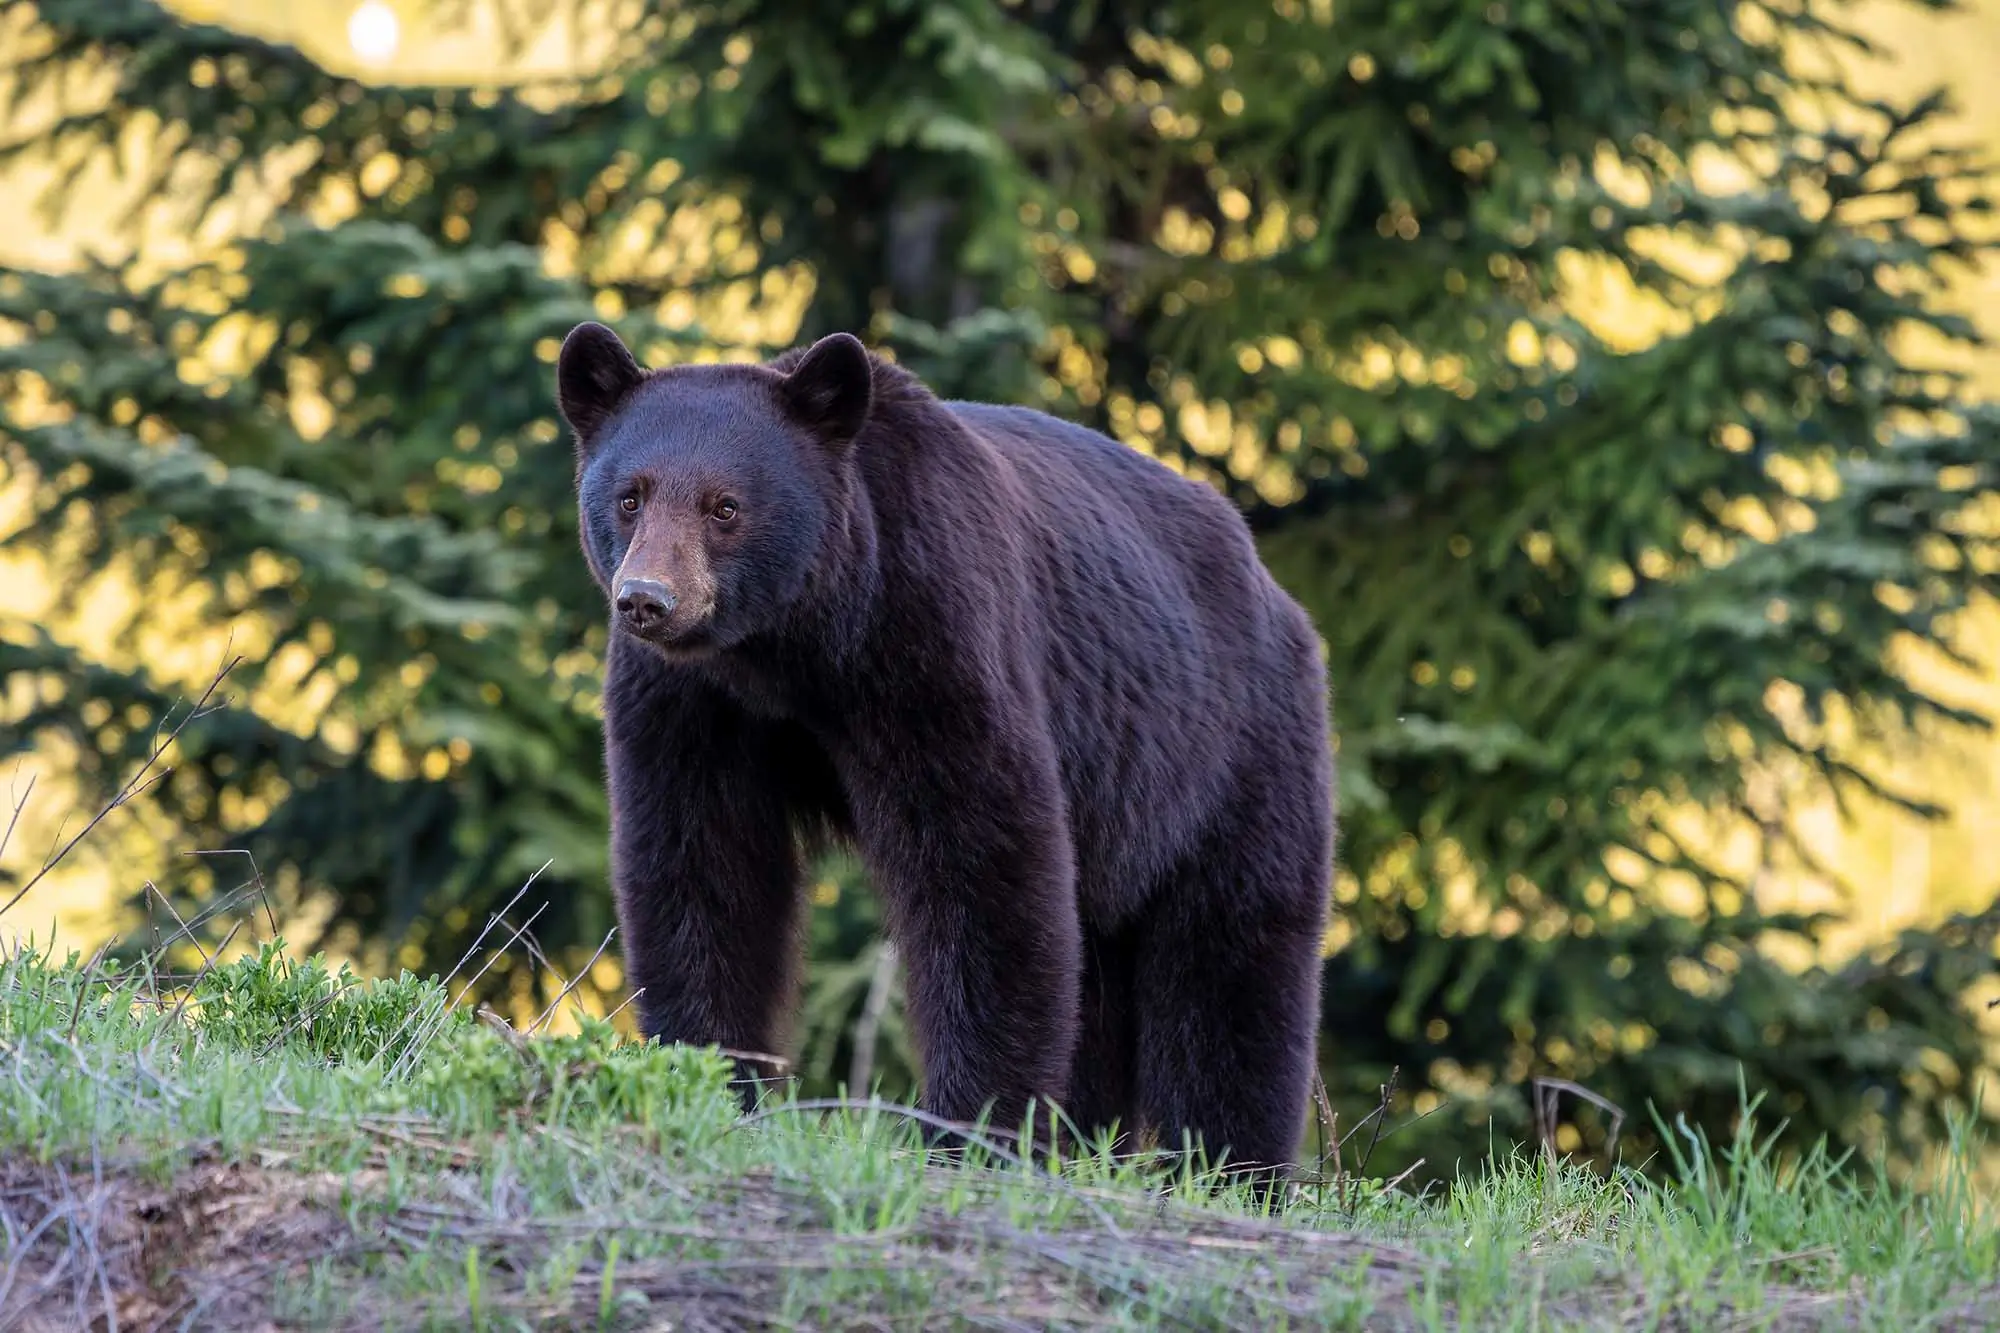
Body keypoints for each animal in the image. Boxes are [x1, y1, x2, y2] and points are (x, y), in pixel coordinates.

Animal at [555, 321, 1335, 1181]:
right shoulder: (692, 706)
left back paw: (1233, 1166)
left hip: (1228, 751)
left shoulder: (933, 635)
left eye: (726, 505)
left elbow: (980, 865)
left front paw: (972, 1125)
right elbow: (703, 870)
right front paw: (712, 1077)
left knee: (1234, 956)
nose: (648, 599)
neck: (792, 649)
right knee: (1101, 973)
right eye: (629, 496)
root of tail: (1278, 594)